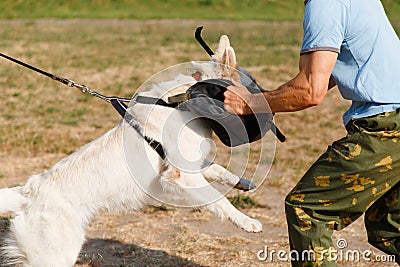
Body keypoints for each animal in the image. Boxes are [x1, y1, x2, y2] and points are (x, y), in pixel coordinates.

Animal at [0, 35, 262, 267]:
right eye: (251, 84)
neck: (183, 102)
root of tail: (26, 193)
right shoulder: (182, 177)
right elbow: (220, 200)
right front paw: (247, 221)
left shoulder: (190, 165)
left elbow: (219, 170)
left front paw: (243, 183)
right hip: (55, 257)